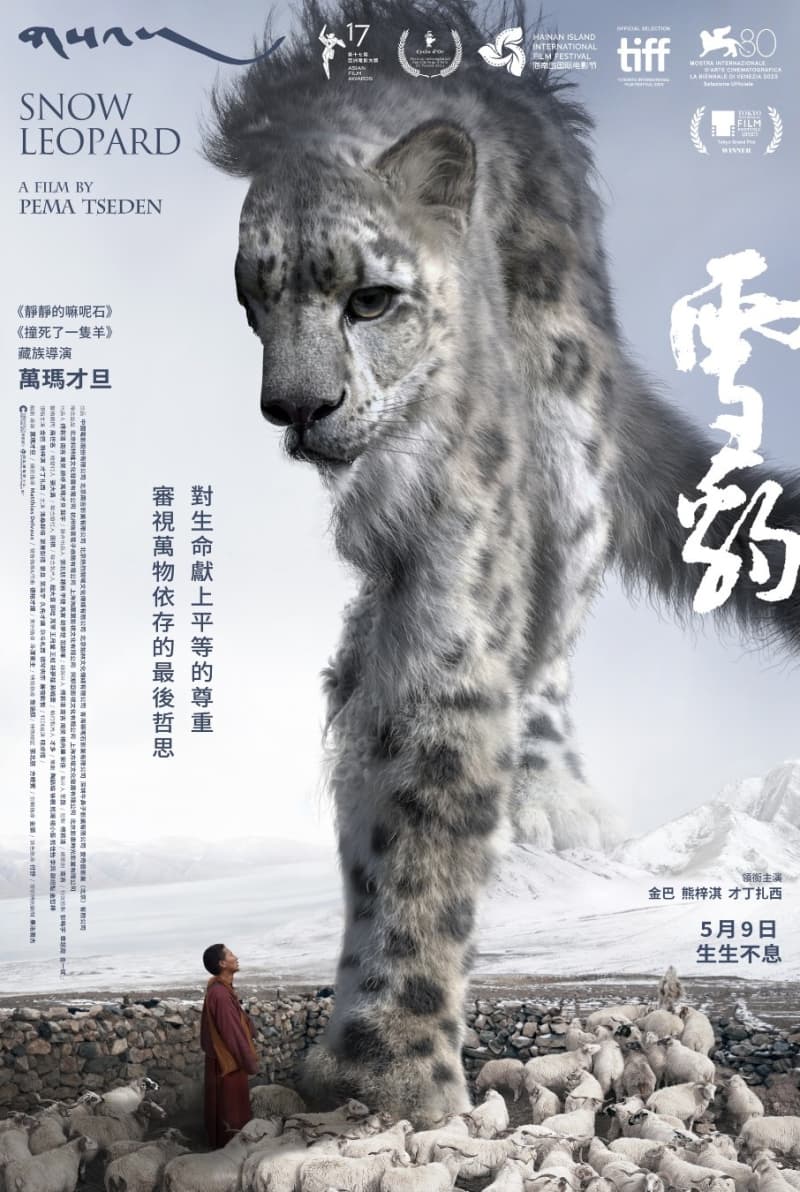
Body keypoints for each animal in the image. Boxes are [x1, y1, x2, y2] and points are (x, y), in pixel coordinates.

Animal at [204, 0, 800, 1126]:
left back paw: (550, 791)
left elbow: (430, 776)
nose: (294, 407)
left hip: (568, 449)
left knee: (556, 624)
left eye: (371, 298)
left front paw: (388, 1063)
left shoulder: (454, 561)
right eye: (254, 297)